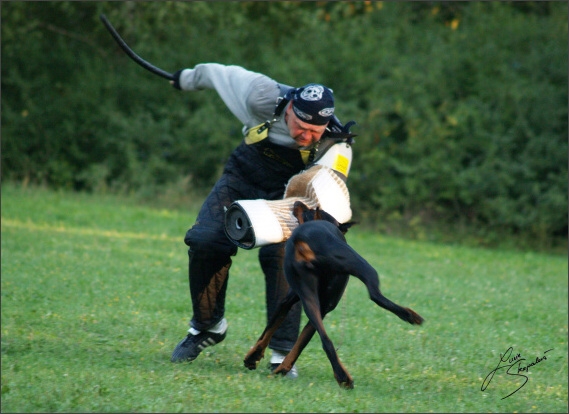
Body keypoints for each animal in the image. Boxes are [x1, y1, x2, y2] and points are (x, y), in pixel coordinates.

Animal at [242, 201, 424, 388]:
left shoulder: (288, 301)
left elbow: (270, 331)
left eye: (307, 211)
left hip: (312, 296)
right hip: (361, 268)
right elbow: (286, 339)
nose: (297, 202)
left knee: (327, 339)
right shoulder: (314, 306)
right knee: (374, 297)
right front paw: (267, 364)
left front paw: (254, 358)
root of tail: (306, 239)